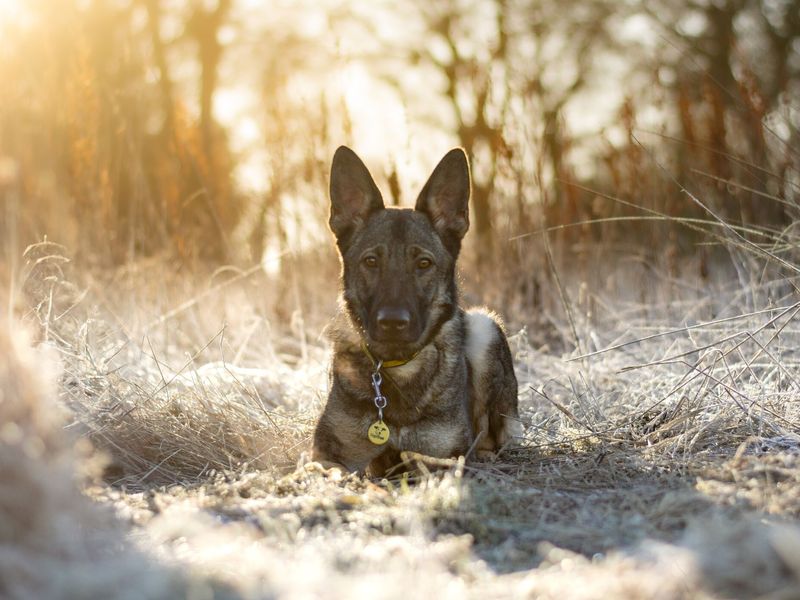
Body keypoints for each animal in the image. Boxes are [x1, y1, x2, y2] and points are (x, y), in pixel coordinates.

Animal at [310, 145, 520, 474]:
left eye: (423, 263)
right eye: (371, 261)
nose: (393, 322)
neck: (397, 366)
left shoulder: (443, 458)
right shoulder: (325, 455)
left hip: (485, 328)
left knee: (492, 435)